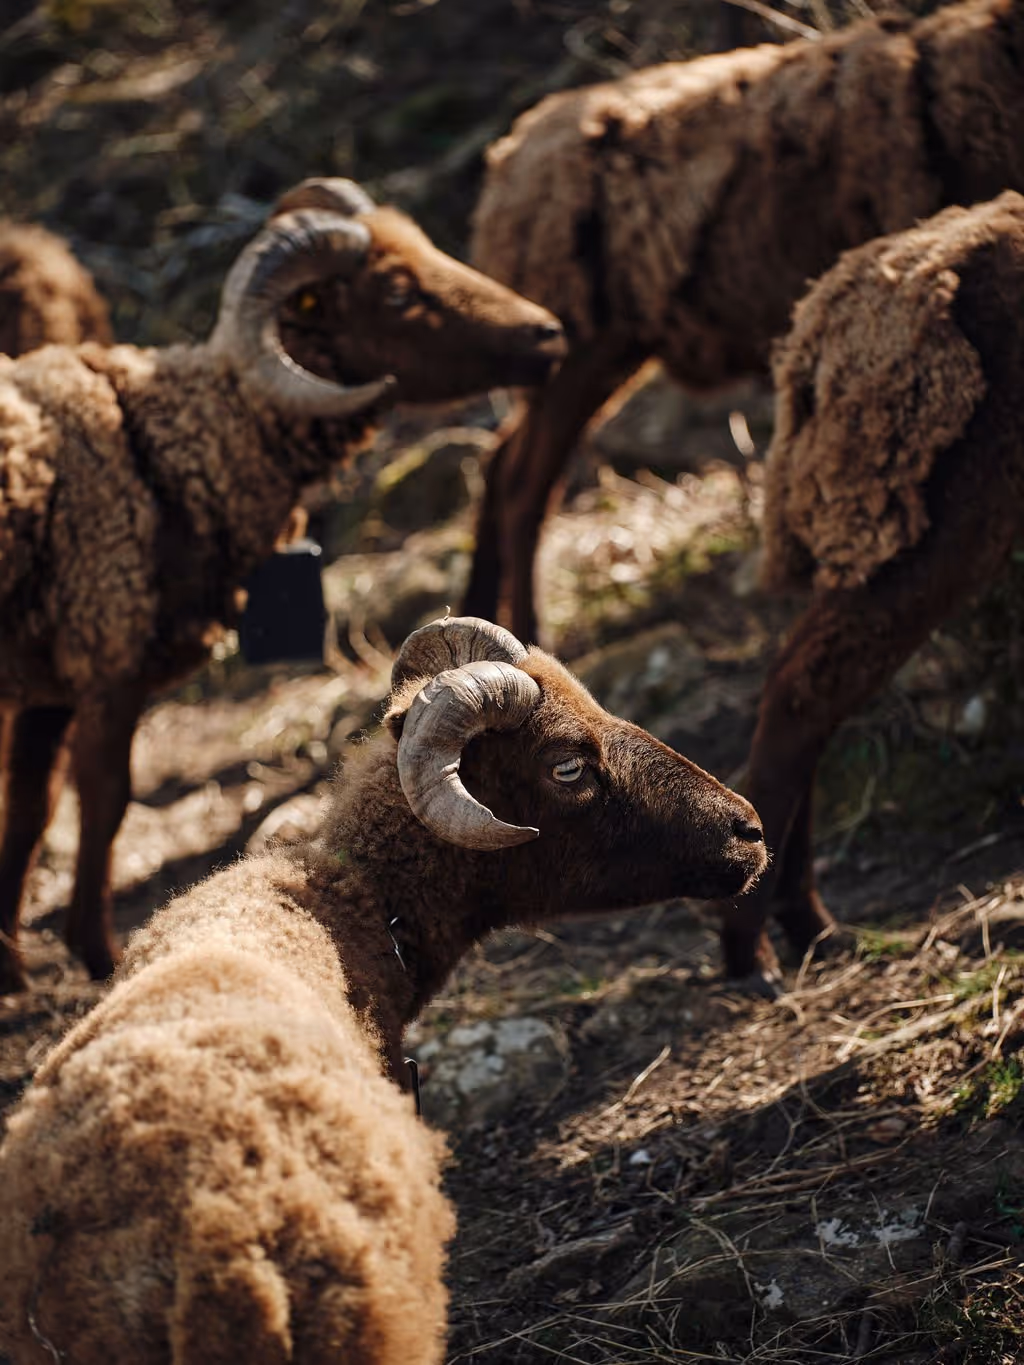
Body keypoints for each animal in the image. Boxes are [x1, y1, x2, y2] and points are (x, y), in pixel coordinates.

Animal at [460, 0, 1024, 642]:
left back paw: (478, 610)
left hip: (590, 355)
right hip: (577, 346)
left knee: (499, 461)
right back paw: (530, 631)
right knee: (523, 486)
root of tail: (504, 160)